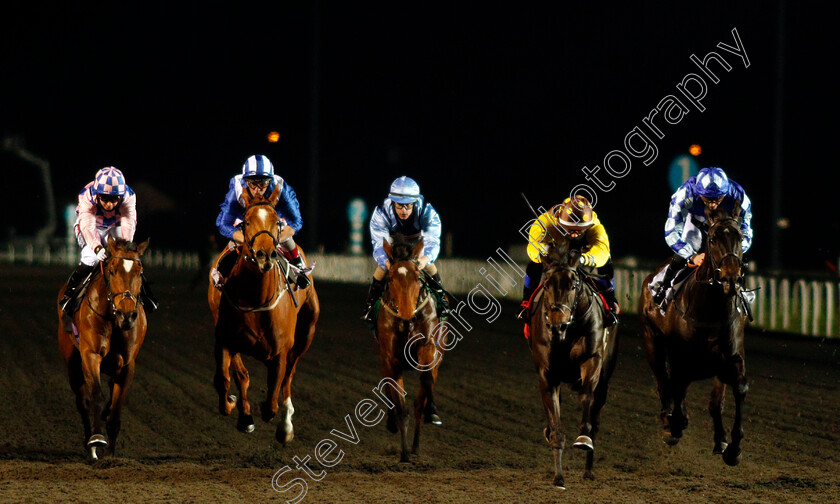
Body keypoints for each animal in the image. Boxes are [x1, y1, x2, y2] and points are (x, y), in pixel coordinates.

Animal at [55, 236, 150, 460]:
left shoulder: (127, 364)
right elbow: (96, 396)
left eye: (140, 272)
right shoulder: (91, 356)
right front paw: (97, 440)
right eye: (112, 270)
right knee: (83, 402)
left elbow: (116, 406)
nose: (127, 315)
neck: (113, 319)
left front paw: (112, 454)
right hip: (73, 363)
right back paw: (90, 444)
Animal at [208, 183, 320, 442]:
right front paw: (237, 408)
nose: (264, 254)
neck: (255, 299)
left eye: (276, 221)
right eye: (246, 221)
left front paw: (281, 422)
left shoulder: (280, 351)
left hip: (306, 332)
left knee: (289, 375)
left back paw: (286, 424)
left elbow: (271, 402)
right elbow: (225, 380)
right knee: (243, 376)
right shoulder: (226, 340)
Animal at [378, 234, 446, 462]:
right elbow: (399, 404)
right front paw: (404, 453)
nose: (407, 317)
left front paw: (432, 413)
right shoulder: (390, 358)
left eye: (417, 277)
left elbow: (425, 384)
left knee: (422, 397)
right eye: (390, 278)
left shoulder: (427, 347)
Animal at [528, 233, 620, 488]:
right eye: (547, 284)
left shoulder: (592, 361)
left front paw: (583, 439)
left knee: (596, 414)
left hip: (606, 376)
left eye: (573, 285)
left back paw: (588, 469)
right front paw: (558, 476)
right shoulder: (547, 374)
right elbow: (555, 425)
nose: (557, 324)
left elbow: (587, 398)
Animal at [640, 200, 752, 464]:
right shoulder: (681, 357)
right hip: (652, 341)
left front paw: (732, 446)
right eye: (712, 239)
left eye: (740, 237)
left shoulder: (730, 355)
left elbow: (734, 391)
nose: (731, 278)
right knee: (664, 382)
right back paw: (669, 419)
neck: (711, 310)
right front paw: (675, 425)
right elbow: (676, 386)